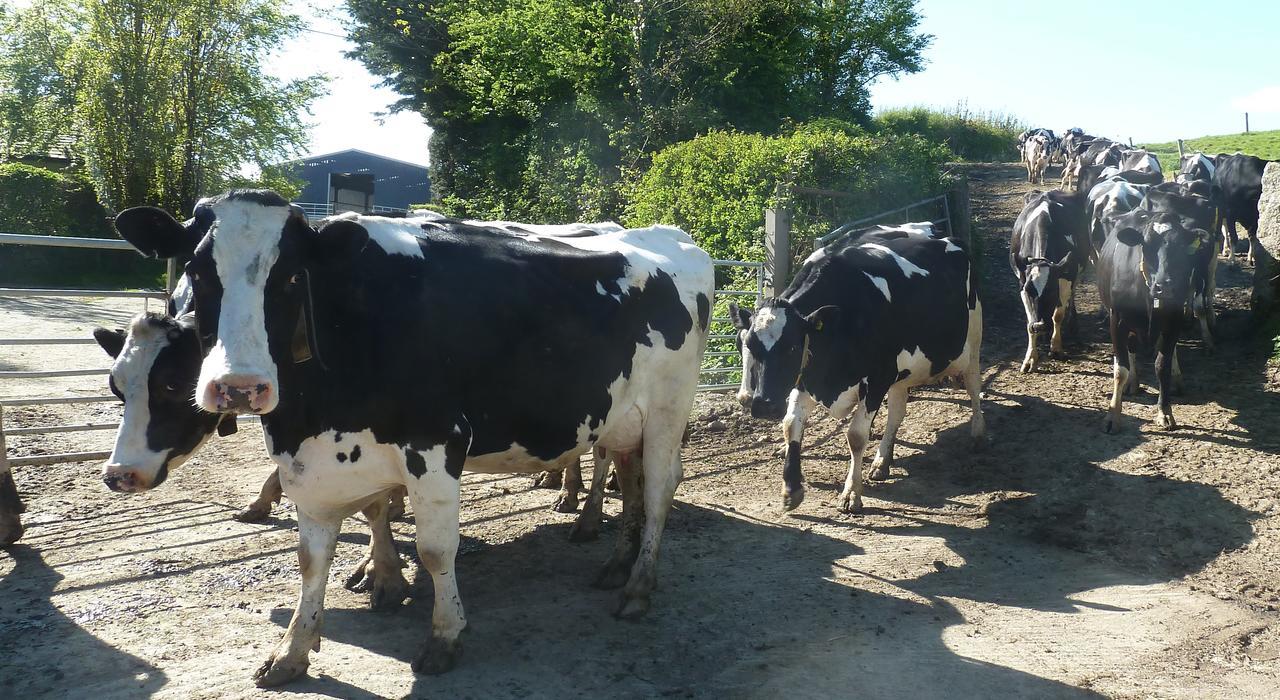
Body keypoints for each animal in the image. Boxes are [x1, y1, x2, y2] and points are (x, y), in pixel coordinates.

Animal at [107, 191, 711, 685]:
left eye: (292, 277)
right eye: (197, 269)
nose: (239, 386)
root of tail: (670, 237)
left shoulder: (435, 445)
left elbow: (436, 548)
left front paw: (442, 633)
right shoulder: (314, 463)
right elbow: (314, 557)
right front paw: (293, 650)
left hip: (667, 409)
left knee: (659, 490)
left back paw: (637, 584)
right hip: (622, 419)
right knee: (629, 480)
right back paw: (615, 564)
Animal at [727, 225, 983, 514]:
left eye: (793, 347)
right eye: (748, 345)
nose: (761, 404)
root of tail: (949, 238)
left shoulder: (878, 379)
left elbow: (856, 436)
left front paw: (851, 493)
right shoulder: (806, 378)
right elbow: (791, 424)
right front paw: (791, 488)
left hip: (973, 339)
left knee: (974, 386)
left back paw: (978, 432)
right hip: (902, 374)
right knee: (897, 413)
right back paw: (882, 461)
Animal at [1008, 189, 1090, 368]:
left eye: (1052, 290)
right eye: (1029, 290)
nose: (1039, 325)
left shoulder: (1065, 278)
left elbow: (1057, 315)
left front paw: (1056, 348)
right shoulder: (1022, 282)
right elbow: (1029, 323)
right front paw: (1030, 358)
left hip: (1078, 272)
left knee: (1072, 296)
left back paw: (1072, 326)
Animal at [1095, 211, 1213, 432]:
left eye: (1180, 247)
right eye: (1146, 244)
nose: (1164, 285)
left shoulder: (1173, 321)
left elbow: (1162, 365)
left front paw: (1165, 412)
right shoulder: (1117, 320)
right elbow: (1120, 369)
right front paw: (1113, 416)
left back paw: (1176, 379)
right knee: (1131, 349)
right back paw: (1133, 383)